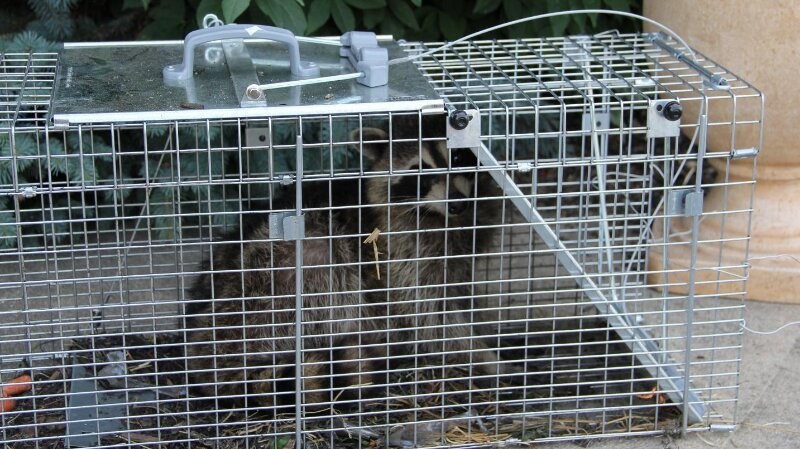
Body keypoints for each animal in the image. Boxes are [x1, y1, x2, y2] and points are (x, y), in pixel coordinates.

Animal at [0, 22, 764, 448]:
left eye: (464, 159)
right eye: (420, 172)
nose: (461, 196)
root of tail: (195, 343)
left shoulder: (484, 242)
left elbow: (474, 302)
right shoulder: (404, 249)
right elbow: (428, 309)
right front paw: (483, 363)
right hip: (274, 276)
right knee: (328, 304)